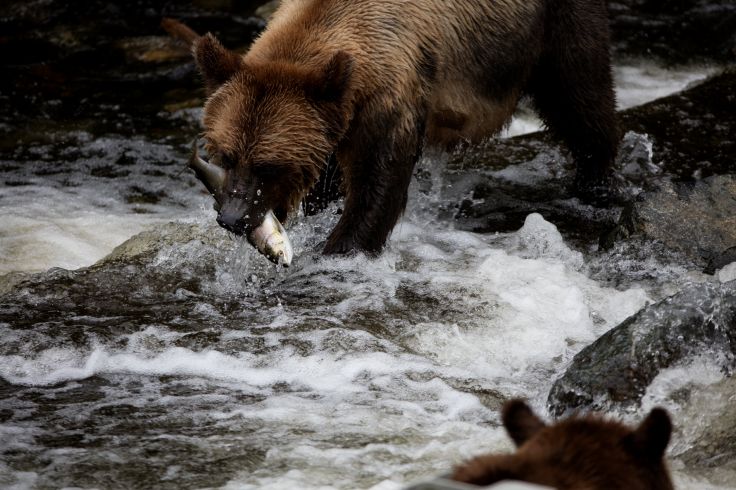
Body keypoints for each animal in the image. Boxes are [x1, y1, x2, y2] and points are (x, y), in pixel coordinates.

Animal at [164, 0, 620, 260]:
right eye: (226, 155)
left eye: (268, 165)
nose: (232, 217)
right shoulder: (337, 122)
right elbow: (329, 183)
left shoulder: (388, 99)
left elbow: (377, 183)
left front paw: (340, 249)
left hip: (553, 26)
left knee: (580, 95)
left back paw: (597, 182)